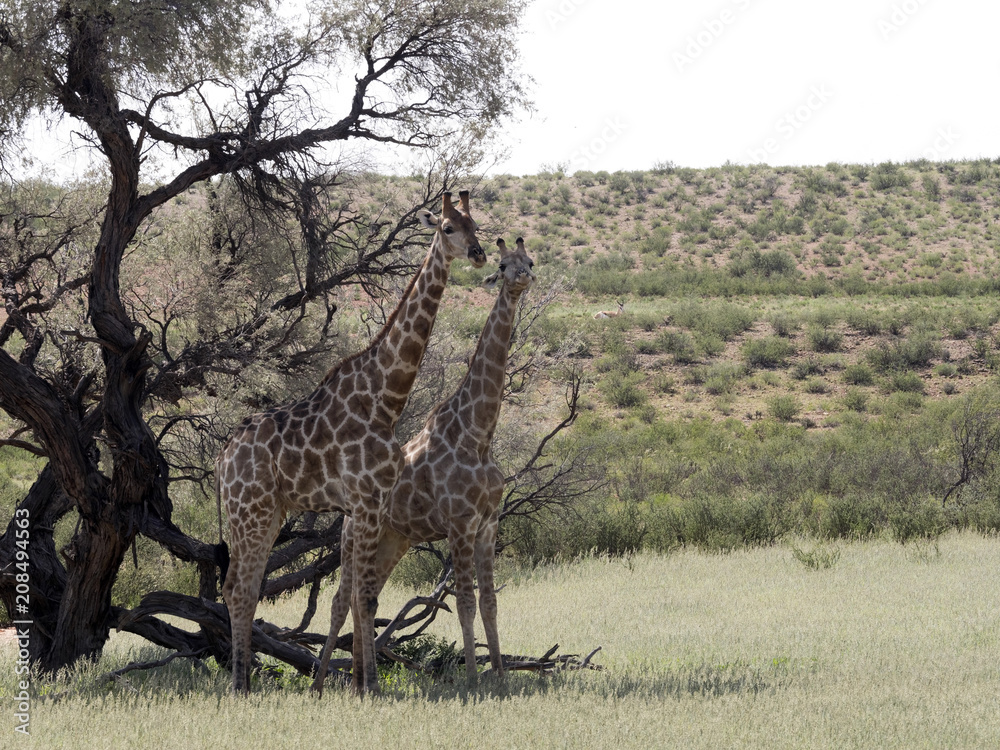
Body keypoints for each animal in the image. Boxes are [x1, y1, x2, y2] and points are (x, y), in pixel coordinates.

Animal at [217, 191, 486, 695]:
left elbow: (367, 597)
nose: (479, 254)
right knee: (240, 589)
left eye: (475, 224)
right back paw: (240, 685)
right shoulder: (363, 501)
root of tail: (222, 460)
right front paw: (372, 688)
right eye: (447, 228)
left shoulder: (373, 503)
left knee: (239, 586)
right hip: (251, 511)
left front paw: (363, 685)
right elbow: (363, 597)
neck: (385, 400)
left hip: (268, 511)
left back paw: (243, 682)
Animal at [312, 237, 536, 694]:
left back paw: (359, 681)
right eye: (504, 264)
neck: (478, 434)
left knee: (365, 596)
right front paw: (473, 679)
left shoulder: (489, 523)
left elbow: (490, 602)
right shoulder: (460, 523)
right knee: (342, 599)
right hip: (353, 536)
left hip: (392, 540)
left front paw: (501, 677)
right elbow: (465, 603)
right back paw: (323, 682)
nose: (523, 278)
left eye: (531, 260)